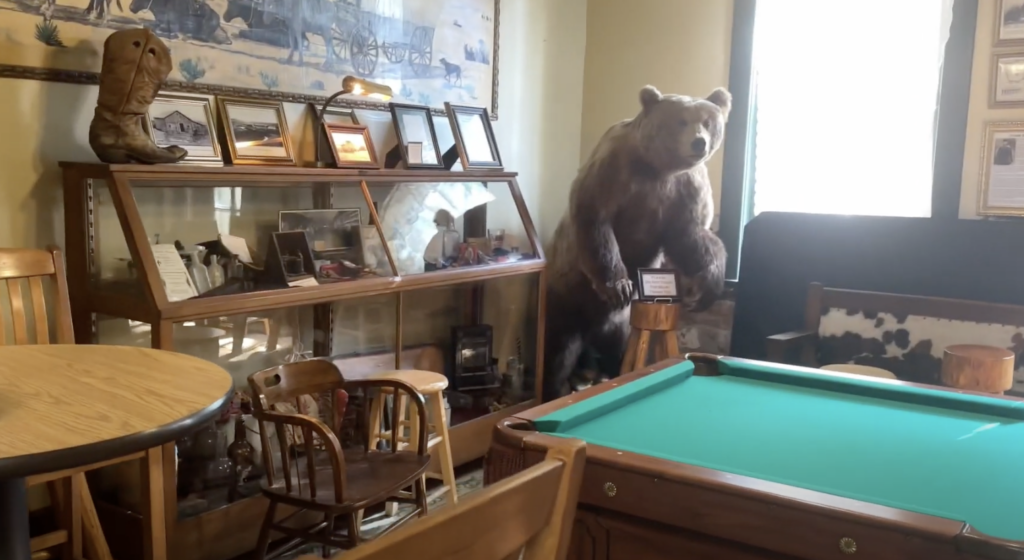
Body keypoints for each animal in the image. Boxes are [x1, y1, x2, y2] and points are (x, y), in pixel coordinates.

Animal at [544, 84, 729, 403]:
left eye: (707, 121)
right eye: (681, 121)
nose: (699, 143)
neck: (659, 168)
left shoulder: (685, 189)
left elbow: (690, 236)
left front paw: (705, 288)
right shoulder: (614, 171)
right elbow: (596, 221)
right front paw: (618, 286)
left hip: (621, 322)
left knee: (616, 346)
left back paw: (608, 373)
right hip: (565, 297)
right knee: (558, 350)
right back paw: (558, 387)